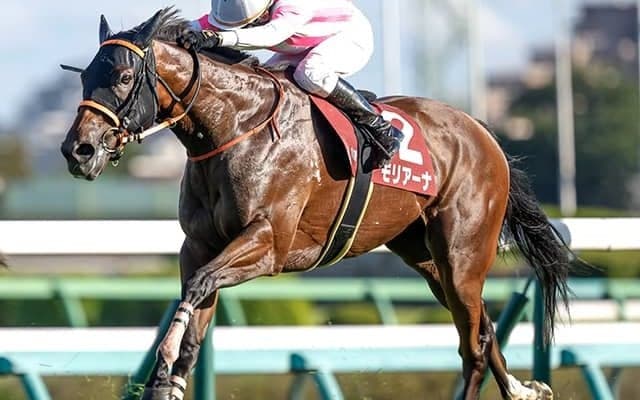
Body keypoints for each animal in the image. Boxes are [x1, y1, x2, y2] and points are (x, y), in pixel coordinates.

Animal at [60, 8, 571, 400]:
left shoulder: (269, 244)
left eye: (125, 76)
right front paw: (166, 380)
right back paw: (525, 389)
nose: (76, 150)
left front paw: (162, 364)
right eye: (85, 76)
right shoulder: (200, 245)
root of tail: (484, 134)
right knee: (483, 328)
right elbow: (195, 309)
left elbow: (198, 288)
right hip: (425, 256)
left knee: (473, 346)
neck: (232, 128)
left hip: (462, 254)